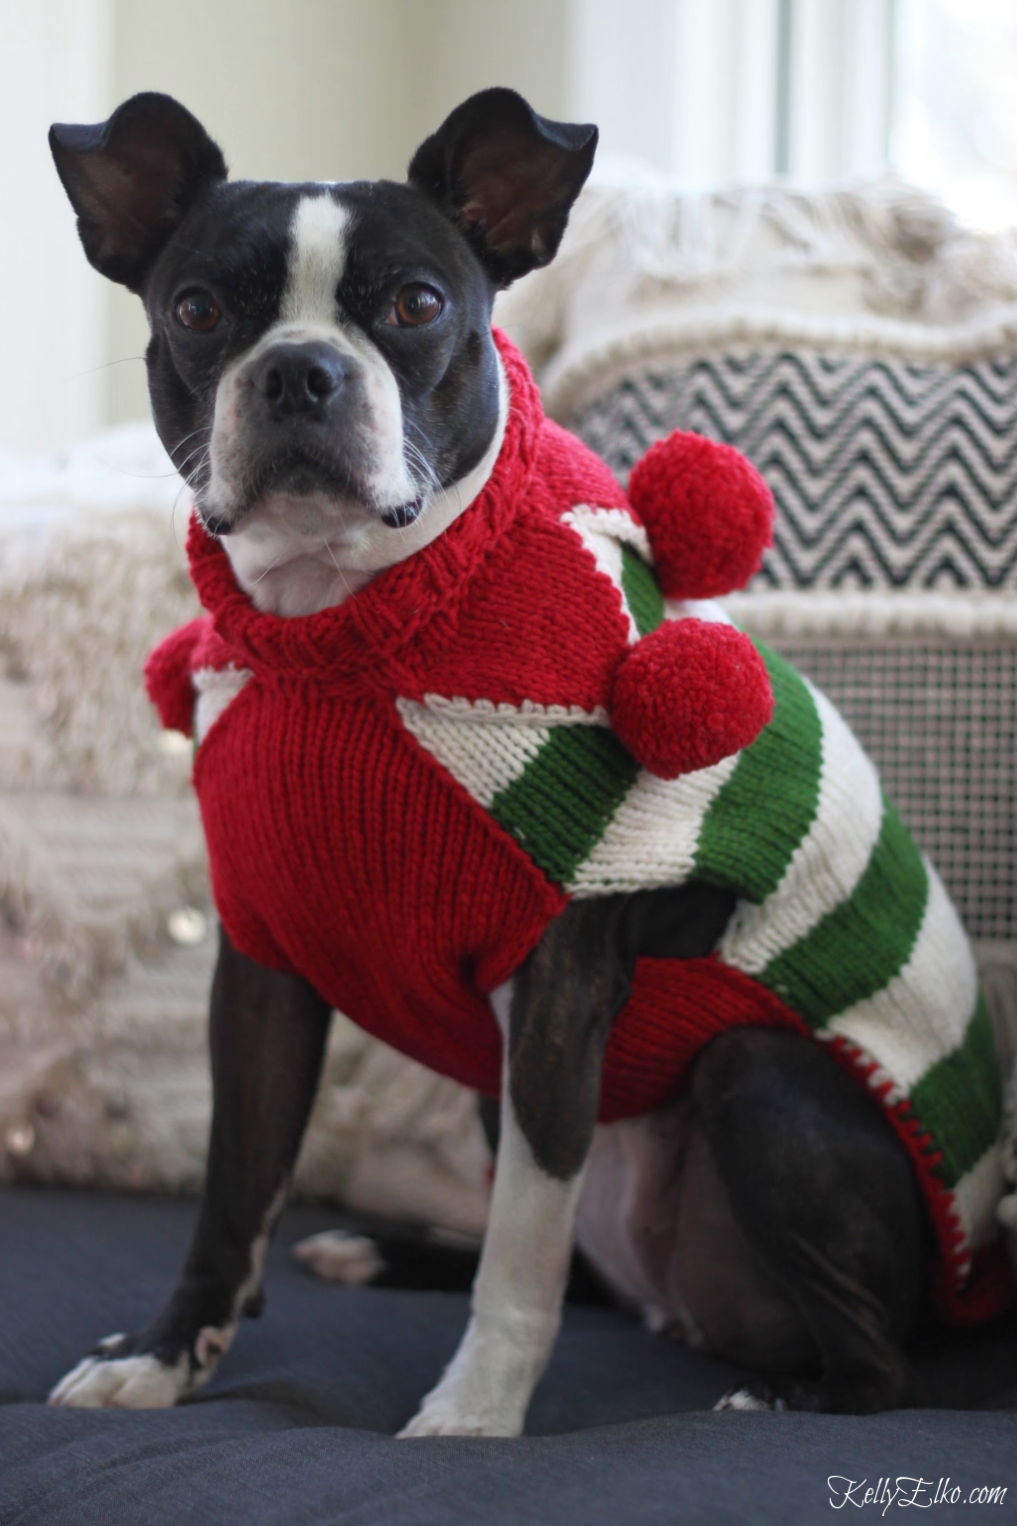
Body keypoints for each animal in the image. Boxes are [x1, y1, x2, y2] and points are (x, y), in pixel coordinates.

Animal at [45, 92, 995, 1428]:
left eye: (415, 304)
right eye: (196, 310)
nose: (298, 370)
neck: (346, 630)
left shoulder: (558, 984)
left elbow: (522, 1250)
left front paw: (473, 1419)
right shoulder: (263, 968)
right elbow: (234, 1190)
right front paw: (166, 1354)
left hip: (756, 1078)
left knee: (882, 1363)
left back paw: (780, 1396)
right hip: (503, 1097)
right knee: (592, 1272)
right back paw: (382, 1246)